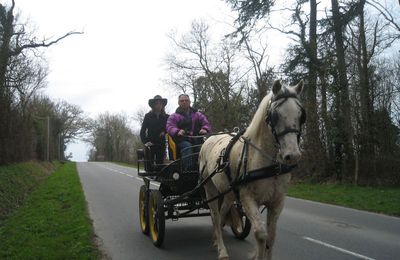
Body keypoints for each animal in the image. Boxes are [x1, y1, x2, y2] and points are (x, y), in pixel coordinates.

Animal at [198, 79, 304, 260]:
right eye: (275, 115)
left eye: (301, 115)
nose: (293, 155)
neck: (269, 165)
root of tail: (209, 138)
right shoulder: (248, 199)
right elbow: (261, 234)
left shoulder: (277, 202)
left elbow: (271, 237)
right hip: (210, 189)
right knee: (215, 215)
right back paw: (222, 250)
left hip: (228, 192)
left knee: (222, 214)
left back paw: (216, 240)